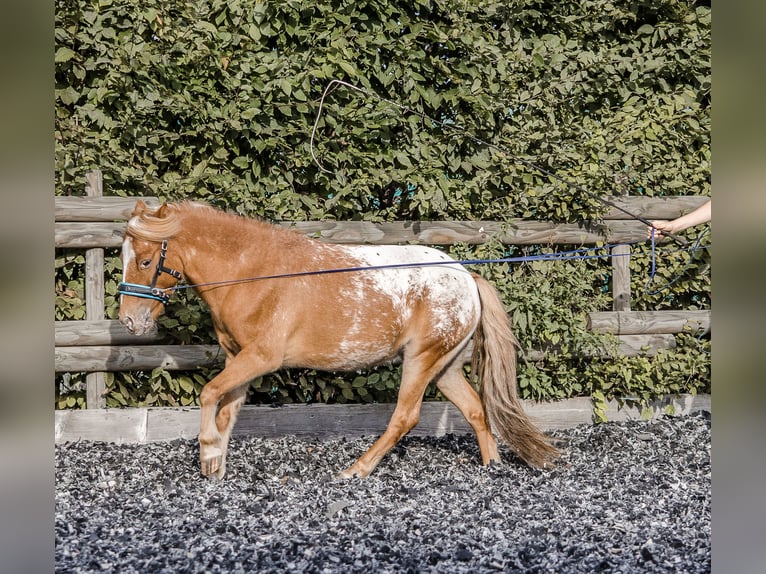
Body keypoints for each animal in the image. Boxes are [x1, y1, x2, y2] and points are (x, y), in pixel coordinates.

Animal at [120, 202, 560, 482]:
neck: (255, 274)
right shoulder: (238, 359)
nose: (130, 319)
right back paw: (491, 467)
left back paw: (355, 471)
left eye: (146, 260)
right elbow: (227, 409)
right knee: (475, 410)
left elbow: (209, 393)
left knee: (406, 417)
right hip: (445, 366)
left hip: (421, 360)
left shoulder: (262, 358)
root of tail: (468, 276)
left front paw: (209, 452)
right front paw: (216, 466)